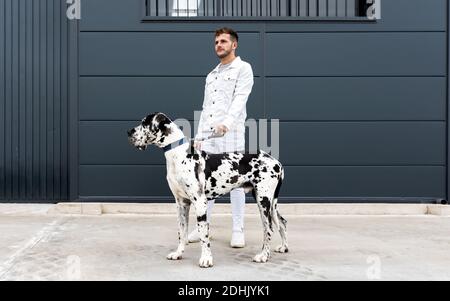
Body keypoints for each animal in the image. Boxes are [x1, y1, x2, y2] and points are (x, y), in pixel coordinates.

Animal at [126, 112, 288, 268]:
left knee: (269, 228)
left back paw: (263, 256)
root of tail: (277, 162)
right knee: (282, 222)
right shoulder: (181, 203)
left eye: (145, 123)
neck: (178, 155)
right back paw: (283, 247)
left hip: (263, 200)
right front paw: (178, 253)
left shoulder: (199, 202)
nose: (129, 131)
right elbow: (181, 232)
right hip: (269, 202)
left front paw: (206, 259)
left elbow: (203, 233)